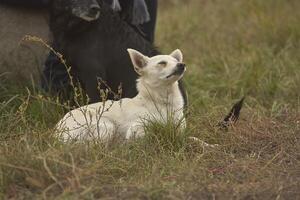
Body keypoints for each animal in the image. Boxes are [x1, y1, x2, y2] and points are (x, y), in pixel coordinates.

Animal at [56, 48, 186, 142]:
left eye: (177, 62)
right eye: (162, 63)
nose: (182, 64)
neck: (164, 101)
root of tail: (56, 133)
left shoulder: (180, 129)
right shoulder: (136, 128)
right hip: (107, 126)